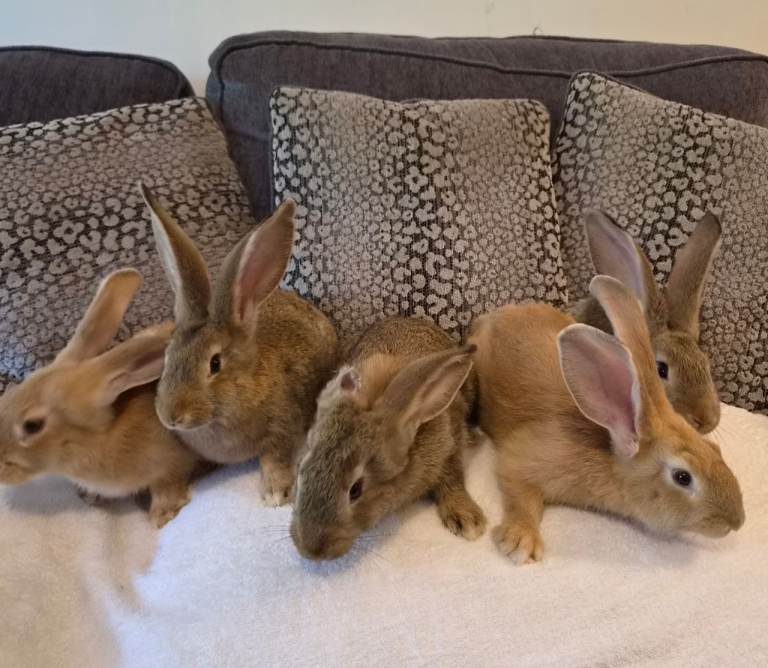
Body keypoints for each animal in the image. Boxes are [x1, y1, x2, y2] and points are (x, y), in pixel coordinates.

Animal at [0, 269, 201, 528]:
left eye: (32, 425)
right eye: (9, 395)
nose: (1, 471)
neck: (102, 436)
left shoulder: (170, 465)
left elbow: (166, 486)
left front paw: (162, 516)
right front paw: (89, 496)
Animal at [139, 184, 338, 506]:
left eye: (215, 364)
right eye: (167, 358)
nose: (171, 417)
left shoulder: (283, 427)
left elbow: (274, 458)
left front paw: (275, 493)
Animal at [290, 317, 487, 561]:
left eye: (356, 490)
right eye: (301, 470)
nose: (311, 550)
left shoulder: (451, 443)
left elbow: (453, 478)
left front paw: (468, 519)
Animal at [468, 275, 744, 564]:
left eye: (715, 449)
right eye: (682, 477)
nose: (736, 521)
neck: (609, 449)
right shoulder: (521, 460)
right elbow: (521, 495)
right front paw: (521, 542)